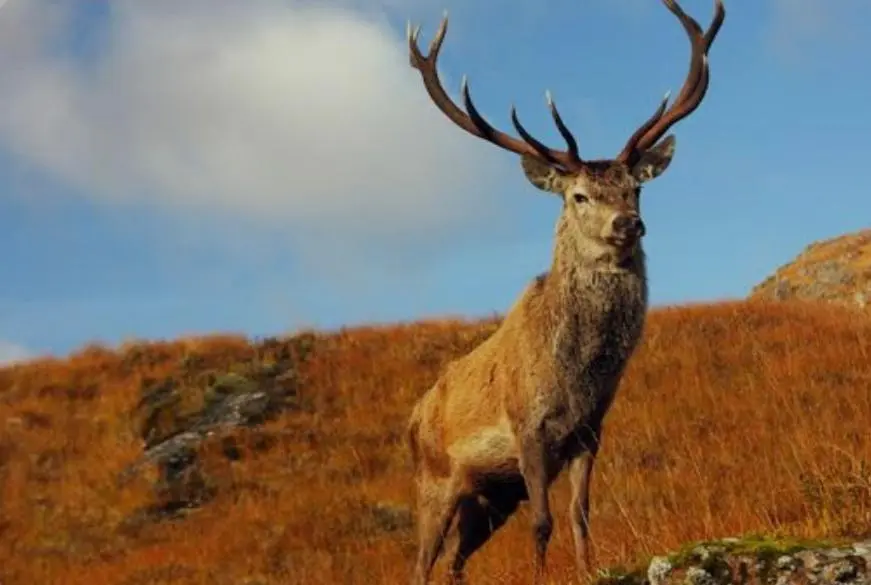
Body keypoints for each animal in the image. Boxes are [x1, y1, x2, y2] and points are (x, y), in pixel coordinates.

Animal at [404, 1, 725, 584]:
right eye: (578, 196)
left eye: (635, 187)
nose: (628, 224)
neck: (577, 378)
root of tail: (412, 419)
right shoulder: (528, 431)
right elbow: (544, 522)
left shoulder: (588, 434)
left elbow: (580, 514)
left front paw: (585, 568)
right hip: (435, 481)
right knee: (422, 561)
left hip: (489, 498)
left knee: (456, 560)